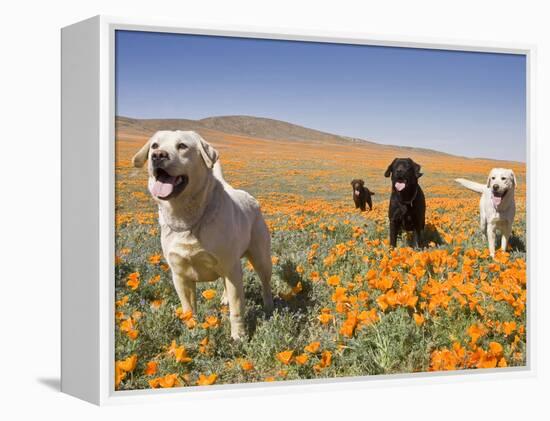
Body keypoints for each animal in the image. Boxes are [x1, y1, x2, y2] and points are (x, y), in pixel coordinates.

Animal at [132, 130, 274, 340]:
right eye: (154, 146)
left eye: (182, 146)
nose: (157, 156)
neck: (186, 219)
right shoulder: (180, 274)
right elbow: (188, 309)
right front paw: (192, 330)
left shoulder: (230, 266)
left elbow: (237, 309)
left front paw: (238, 336)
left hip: (261, 257)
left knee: (265, 283)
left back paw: (269, 307)